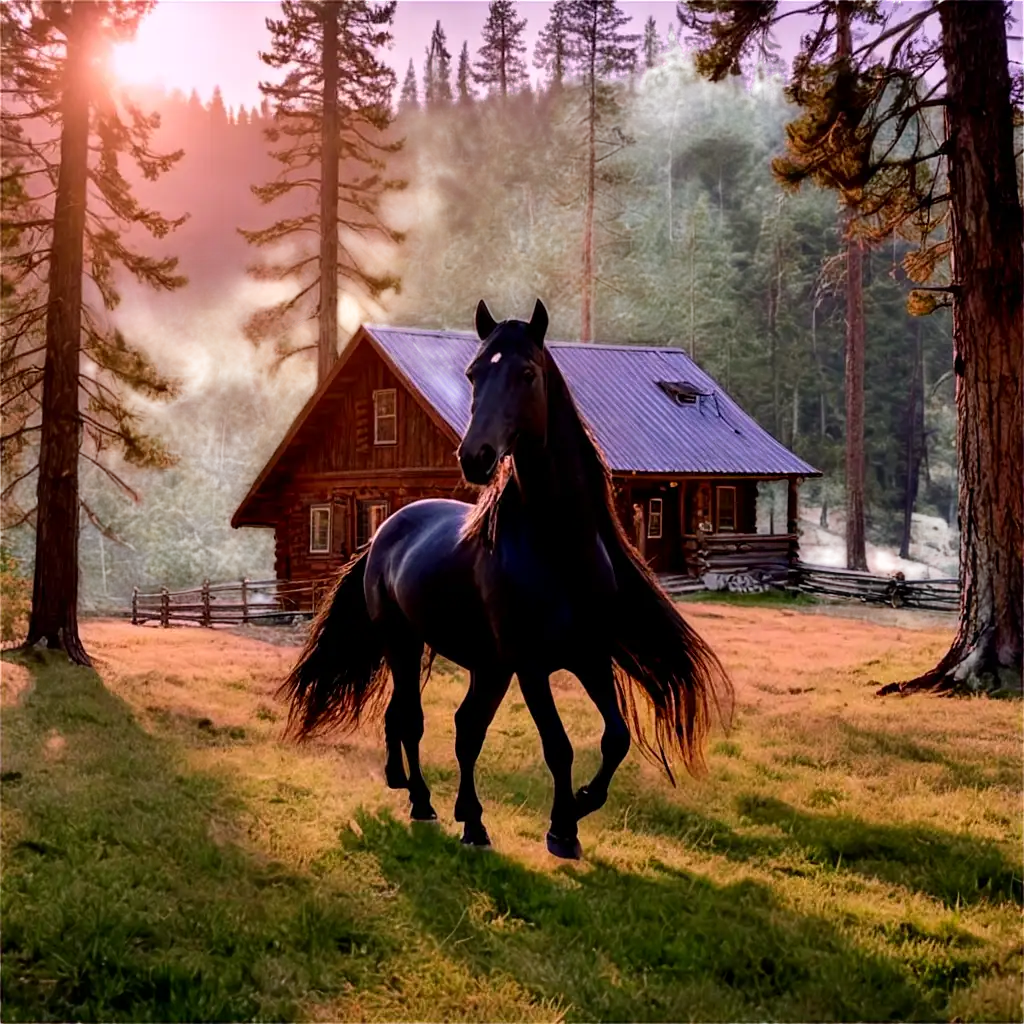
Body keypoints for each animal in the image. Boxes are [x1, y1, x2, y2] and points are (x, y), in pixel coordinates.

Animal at [276, 299, 733, 860]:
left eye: (527, 373)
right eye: (474, 373)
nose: (475, 456)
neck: (559, 550)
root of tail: (384, 531)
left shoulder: (591, 657)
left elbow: (616, 737)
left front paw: (581, 804)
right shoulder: (532, 666)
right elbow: (558, 746)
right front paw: (562, 829)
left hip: (485, 666)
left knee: (459, 728)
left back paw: (463, 816)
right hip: (405, 644)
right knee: (411, 718)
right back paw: (422, 800)